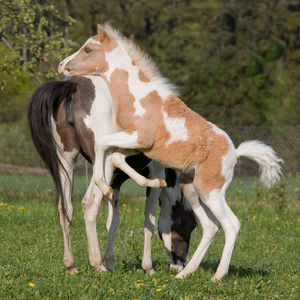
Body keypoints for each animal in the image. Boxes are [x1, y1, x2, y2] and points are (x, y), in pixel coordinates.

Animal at [27, 75, 197, 274]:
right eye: (192, 224)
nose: (182, 263)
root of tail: (74, 84)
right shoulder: (155, 173)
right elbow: (149, 223)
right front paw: (148, 268)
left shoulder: (115, 183)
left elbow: (112, 222)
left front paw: (110, 263)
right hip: (103, 164)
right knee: (89, 204)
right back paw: (97, 264)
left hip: (67, 158)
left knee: (65, 206)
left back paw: (71, 265)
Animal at [58, 24, 284, 282]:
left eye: (87, 49)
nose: (62, 65)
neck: (138, 96)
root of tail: (235, 153)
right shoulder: (134, 144)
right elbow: (113, 155)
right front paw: (150, 182)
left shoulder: (139, 138)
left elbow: (101, 145)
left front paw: (106, 187)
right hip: (193, 190)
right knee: (211, 226)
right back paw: (185, 273)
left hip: (210, 191)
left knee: (231, 224)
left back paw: (216, 276)